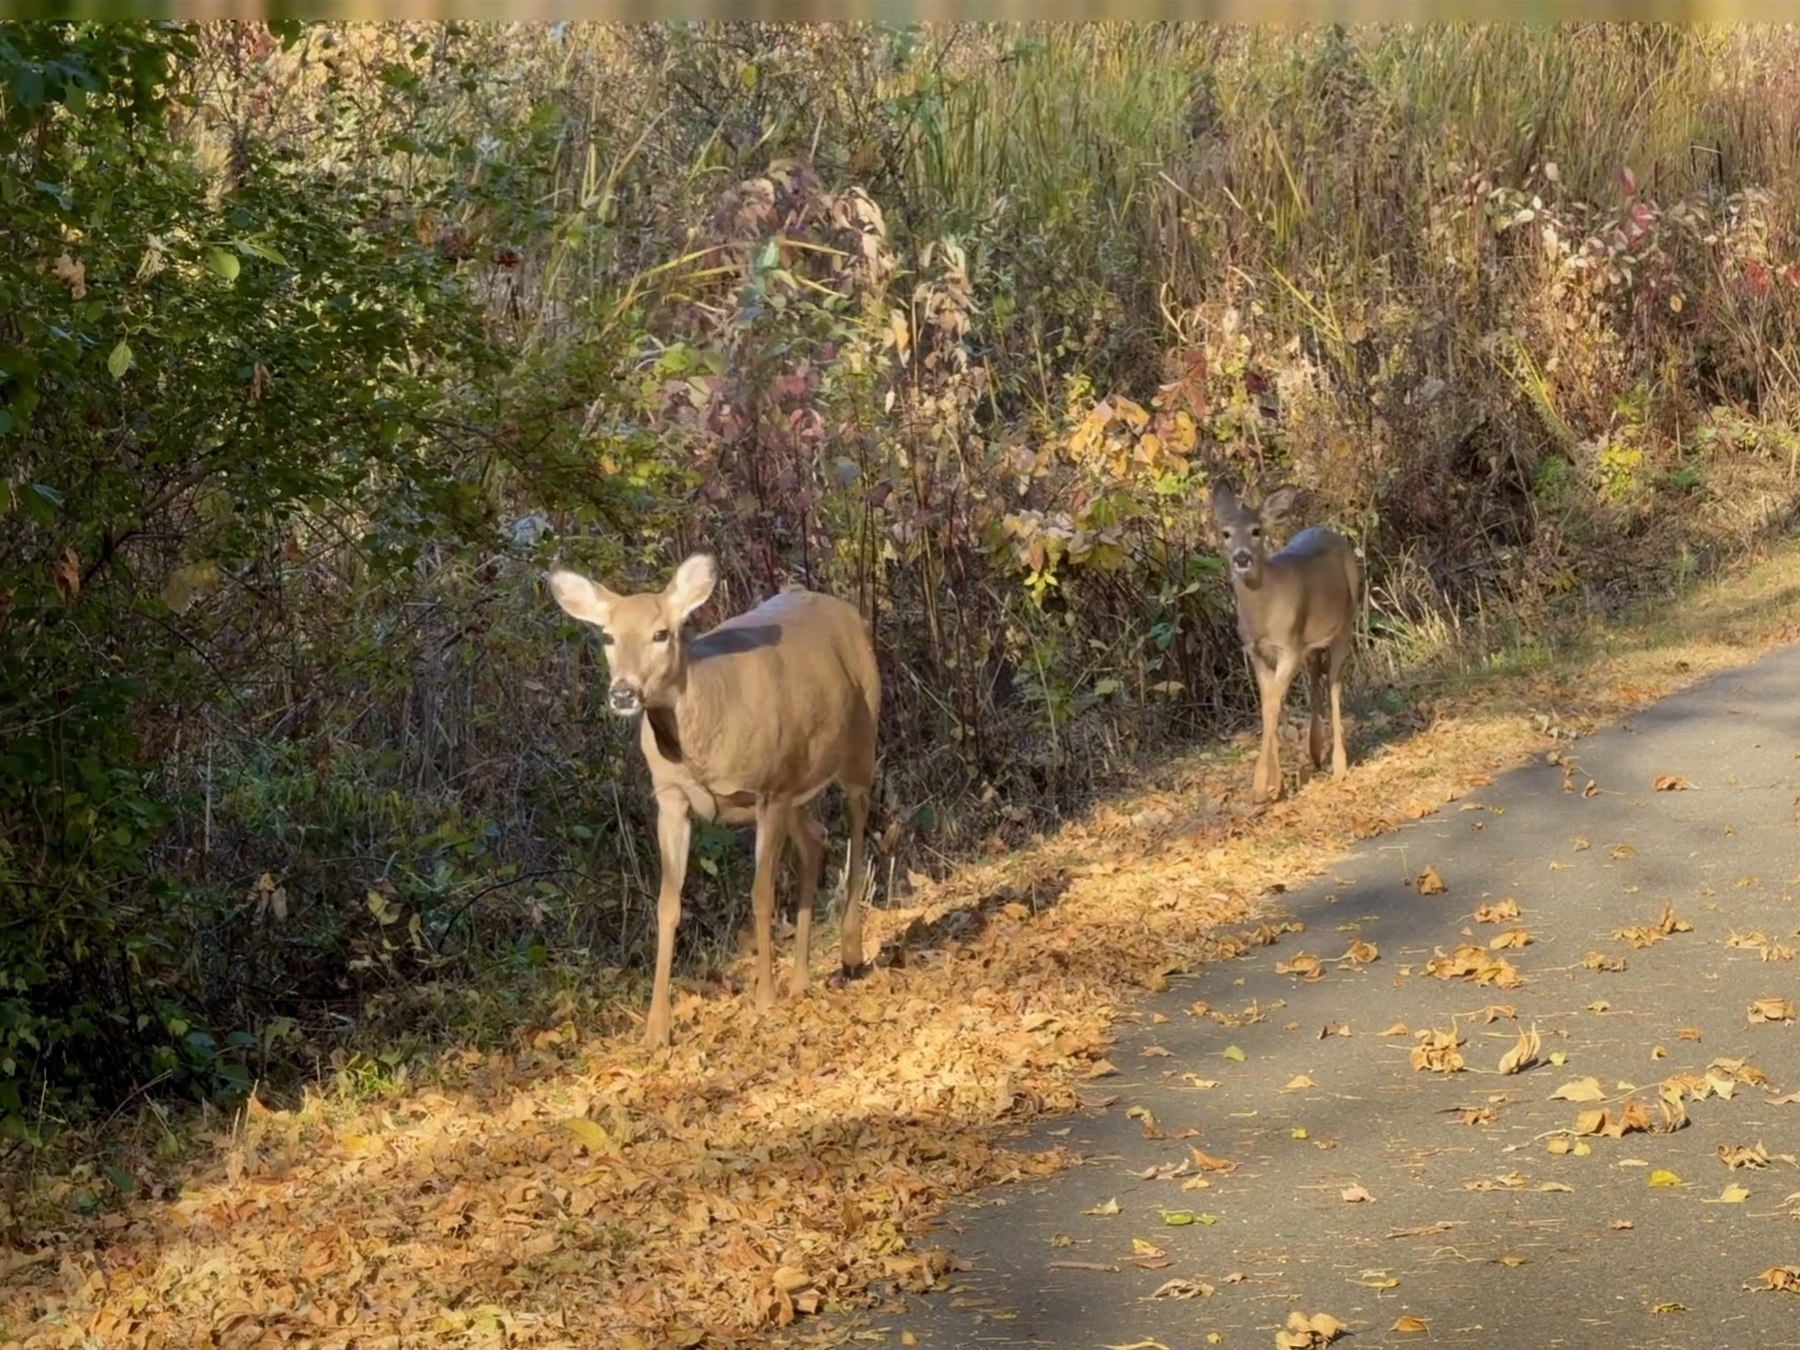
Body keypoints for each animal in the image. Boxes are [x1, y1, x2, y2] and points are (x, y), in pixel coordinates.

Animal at [550, 554, 882, 1051]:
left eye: (661, 633)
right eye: (607, 636)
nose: (623, 693)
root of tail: (842, 608)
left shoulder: (769, 790)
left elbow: (761, 893)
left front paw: (764, 998)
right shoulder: (671, 797)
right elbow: (667, 904)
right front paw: (656, 1030)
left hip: (860, 740)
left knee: (858, 822)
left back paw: (850, 950)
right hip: (800, 780)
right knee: (815, 840)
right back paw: (801, 980)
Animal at [1216, 482, 1353, 802]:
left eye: (1256, 530)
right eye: (1225, 533)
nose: (1242, 558)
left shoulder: (1289, 648)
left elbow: (1273, 707)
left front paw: (1262, 786)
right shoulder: (1256, 652)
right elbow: (1268, 707)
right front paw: (1273, 785)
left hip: (1346, 622)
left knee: (1334, 683)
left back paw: (1339, 766)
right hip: (1312, 643)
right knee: (1317, 674)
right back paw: (1315, 751)